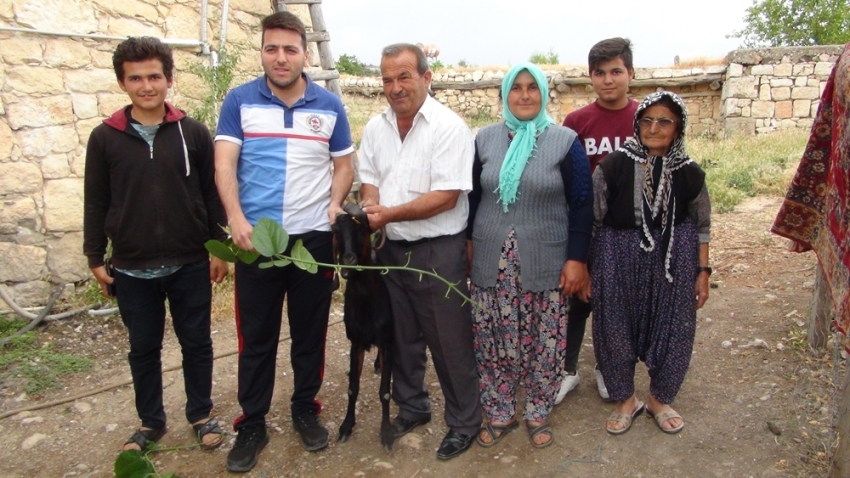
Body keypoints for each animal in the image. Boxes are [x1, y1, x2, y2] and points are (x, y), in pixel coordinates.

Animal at [332, 202, 396, 452]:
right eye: (336, 233)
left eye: (361, 230)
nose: (348, 261)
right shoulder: (355, 342)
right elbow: (353, 387)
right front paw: (346, 426)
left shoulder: (387, 341)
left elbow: (385, 392)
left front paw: (386, 433)